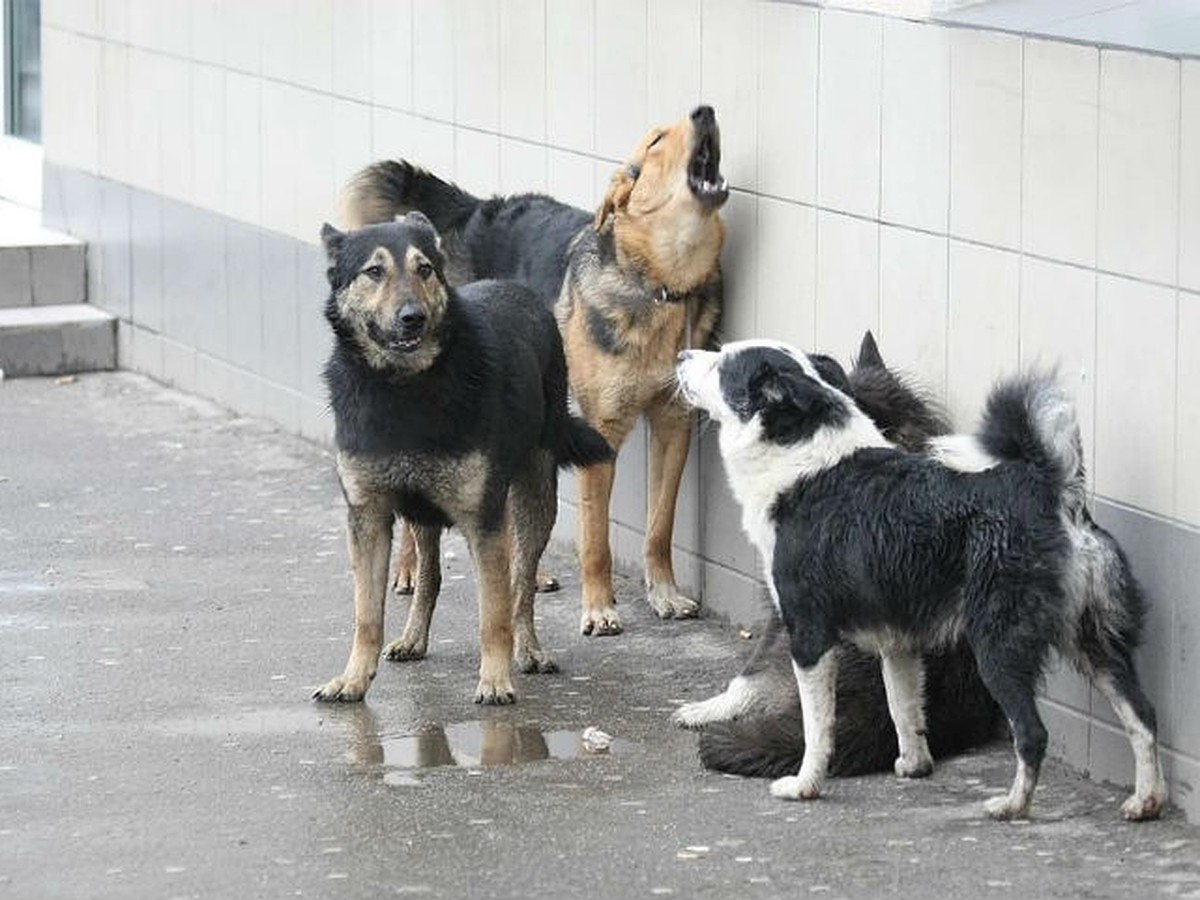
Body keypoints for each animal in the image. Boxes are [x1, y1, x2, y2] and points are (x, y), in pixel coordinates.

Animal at [314, 211, 609, 705]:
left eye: (424, 269)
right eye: (374, 272)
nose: (412, 319)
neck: (404, 388)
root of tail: (516, 287)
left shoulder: (483, 521)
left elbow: (494, 613)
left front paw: (494, 679)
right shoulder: (368, 519)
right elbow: (366, 614)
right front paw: (353, 678)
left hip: (533, 499)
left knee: (521, 584)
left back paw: (529, 650)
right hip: (422, 513)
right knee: (430, 575)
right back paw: (413, 638)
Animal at [343, 105, 724, 638]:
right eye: (655, 141)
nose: (704, 111)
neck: (659, 285)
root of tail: (474, 208)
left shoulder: (674, 424)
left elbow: (659, 526)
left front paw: (663, 593)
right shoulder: (603, 431)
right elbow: (595, 536)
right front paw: (599, 607)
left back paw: (526, 570)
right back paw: (408, 568)